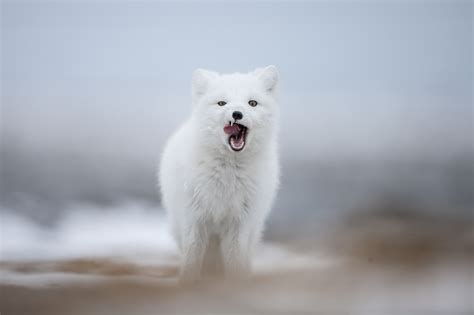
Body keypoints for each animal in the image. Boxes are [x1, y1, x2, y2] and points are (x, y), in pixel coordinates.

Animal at [159, 66, 280, 284]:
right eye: (222, 103)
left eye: (252, 103)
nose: (237, 113)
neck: (227, 175)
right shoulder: (194, 218)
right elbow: (192, 259)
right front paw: (187, 285)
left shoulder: (239, 223)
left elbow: (235, 261)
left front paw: (236, 285)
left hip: (253, 229)